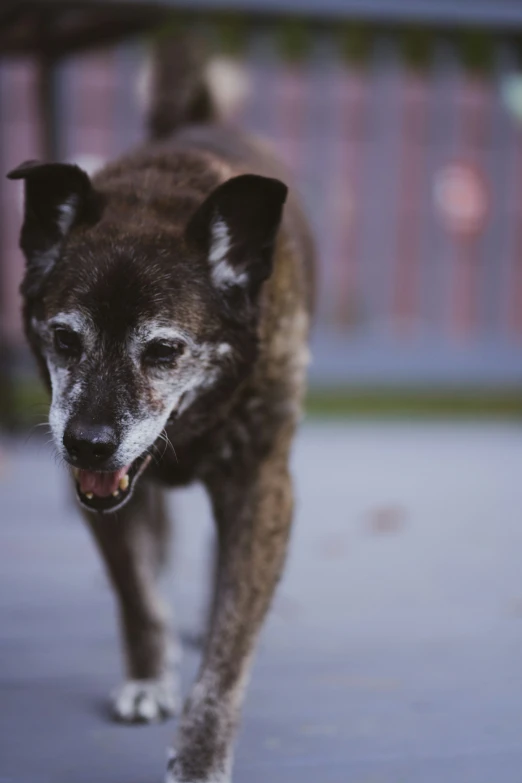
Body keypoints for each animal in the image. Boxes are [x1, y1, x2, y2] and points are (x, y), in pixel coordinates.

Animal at [7, 36, 312, 783]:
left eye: (165, 350)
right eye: (64, 338)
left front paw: (201, 754)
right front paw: (150, 673)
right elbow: (136, 592)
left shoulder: (264, 487)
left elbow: (230, 650)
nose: (87, 442)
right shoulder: (103, 498)